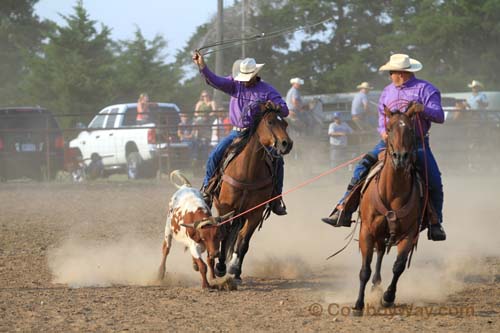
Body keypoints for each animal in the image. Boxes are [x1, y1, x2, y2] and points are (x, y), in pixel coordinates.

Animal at [212, 105, 292, 280]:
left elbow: (243, 242)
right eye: (270, 122)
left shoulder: (255, 212)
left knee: (239, 236)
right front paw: (220, 267)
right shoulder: (226, 208)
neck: (247, 172)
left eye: (285, 124)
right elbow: (225, 235)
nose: (287, 144)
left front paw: (235, 269)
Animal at [352, 103, 426, 314]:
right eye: (389, 128)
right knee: (378, 253)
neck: (393, 193)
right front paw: (359, 304)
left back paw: (378, 288)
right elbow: (365, 270)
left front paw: (388, 297)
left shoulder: (410, 233)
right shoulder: (366, 231)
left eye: (410, 130)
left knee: (382, 252)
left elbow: (398, 266)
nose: (400, 157)